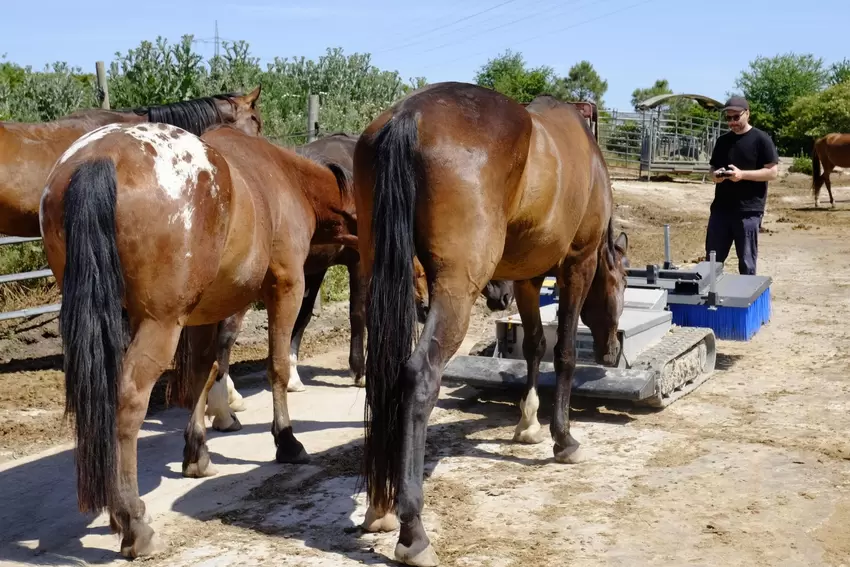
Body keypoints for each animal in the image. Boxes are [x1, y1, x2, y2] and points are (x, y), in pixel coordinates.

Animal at [38, 117, 357, 558]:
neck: (285, 177)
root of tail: (99, 158)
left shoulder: (207, 312)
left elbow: (202, 376)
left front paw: (197, 453)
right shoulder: (287, 287)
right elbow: (275, 366)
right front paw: (287, 441)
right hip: (160, 324)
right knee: (128, 403)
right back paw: (133, 522)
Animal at [352, 82, 629, 566]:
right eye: (623, 283)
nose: (613, 351)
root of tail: (408, 115)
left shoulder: (527, 278)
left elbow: (534, 344)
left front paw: (528, 423)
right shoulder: (577, 264)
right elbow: (564, 353)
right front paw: (562, 439)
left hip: (378, 273)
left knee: (381, 376)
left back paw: (379, 508)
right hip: (455, 290)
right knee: (419, 375)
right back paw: (412, 531)